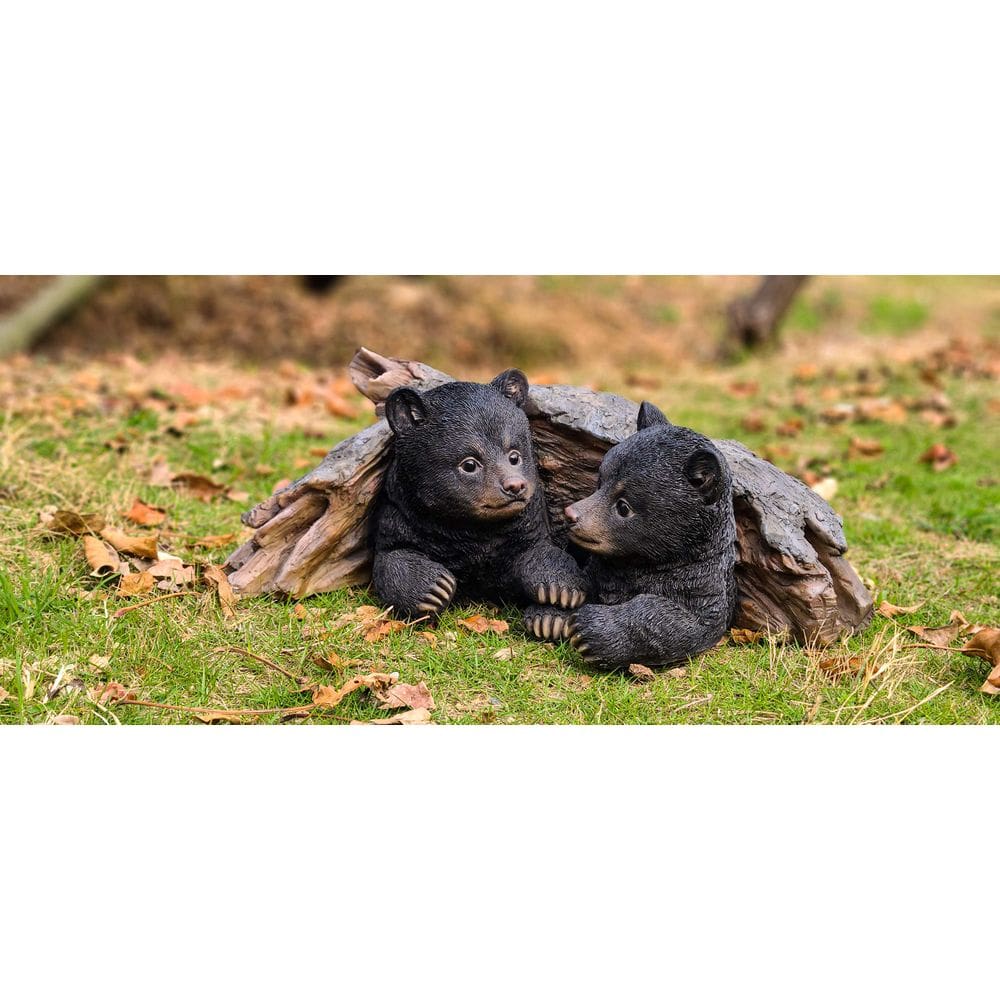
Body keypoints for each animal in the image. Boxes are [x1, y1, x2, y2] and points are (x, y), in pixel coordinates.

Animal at [371, 369, 588, 621]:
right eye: (469, 464)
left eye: (514, 456)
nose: (515, 486)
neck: (473, 530)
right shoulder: (402, 514)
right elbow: (390, 555)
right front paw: (434, 588)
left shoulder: (529, 521)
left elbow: (537, 548)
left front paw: (561, 590)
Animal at [524, 400, 737, 669]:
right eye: (600, 483)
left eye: (624, 506)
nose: (572, 514)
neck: (641, 561)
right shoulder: (601, 569)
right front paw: (550, 614)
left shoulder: (699, 584)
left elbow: (682, 621)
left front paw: (590, 629)